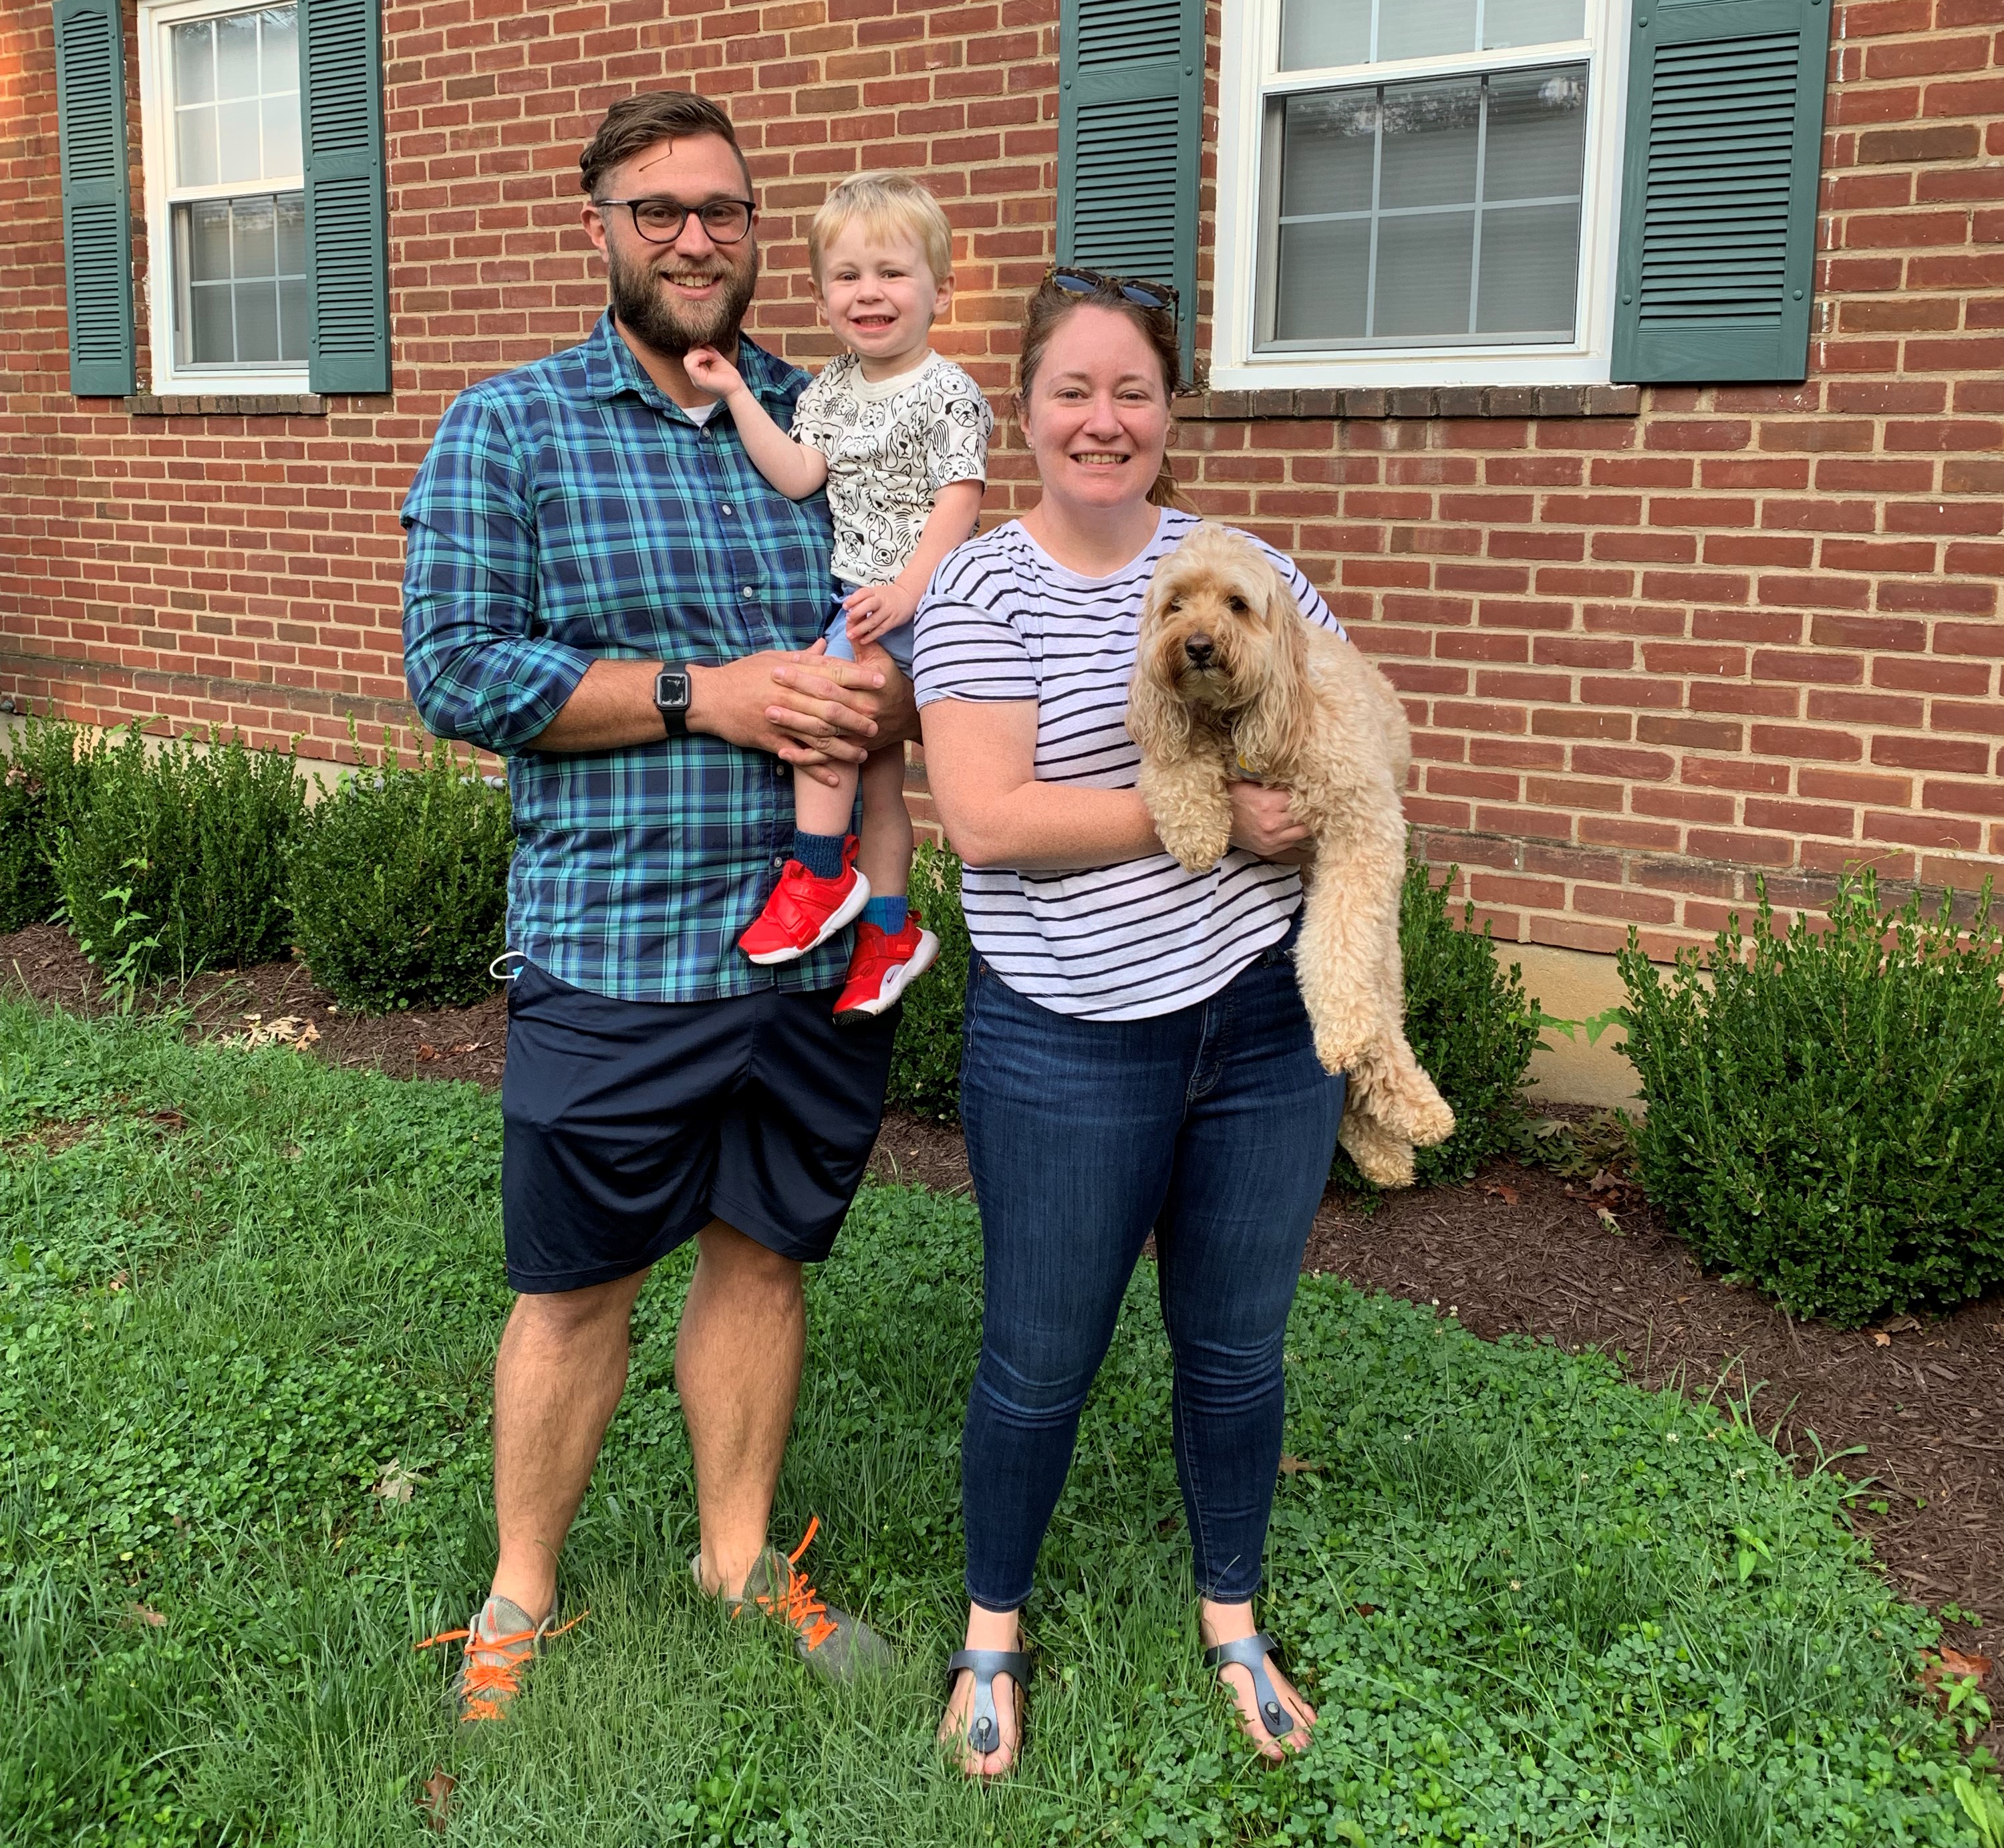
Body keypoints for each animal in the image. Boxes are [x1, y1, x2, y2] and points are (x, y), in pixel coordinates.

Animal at [1130, 517, 1459, 1178]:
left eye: (1236, 603)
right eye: (1175, 603)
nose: (1196, 646)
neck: (1239, 717)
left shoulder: (1362, 829)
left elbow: (1333, 951)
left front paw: (1338, 1029)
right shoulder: (1177, 732)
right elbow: (1174, 771)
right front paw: (1197, 831)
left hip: (1380, 944)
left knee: (1375, 1016)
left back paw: (1413, 1110)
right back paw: (1381, 1146)